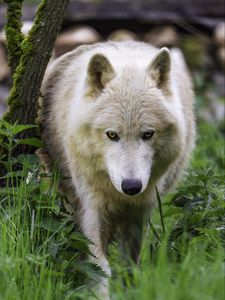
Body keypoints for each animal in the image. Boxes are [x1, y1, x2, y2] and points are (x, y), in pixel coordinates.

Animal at [38, 41, 195, 298]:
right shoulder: (92, 208)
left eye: (148, 134)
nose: (131, 186)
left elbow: (130, 262)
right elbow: (100, 265)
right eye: (112, 135)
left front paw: (130, 290)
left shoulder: (140, 210)